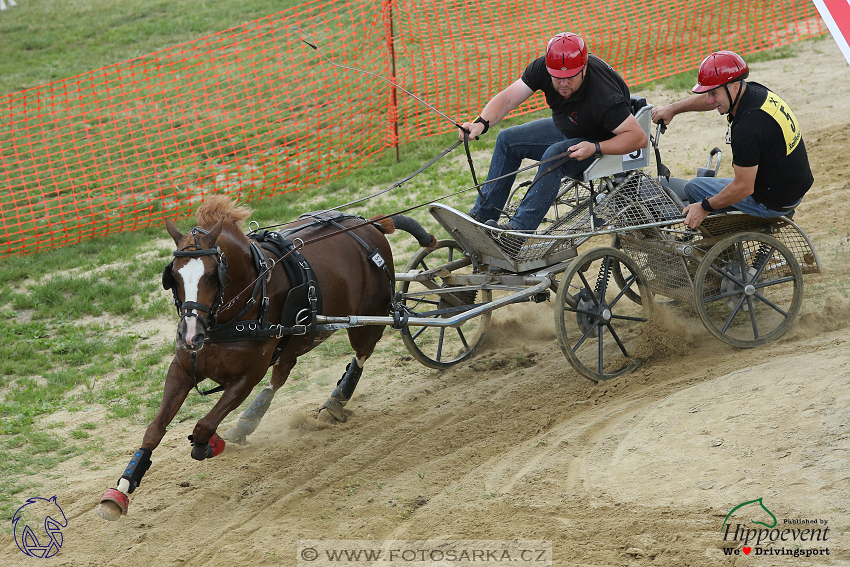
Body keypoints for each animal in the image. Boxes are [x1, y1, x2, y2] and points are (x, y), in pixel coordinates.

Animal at [96, 197, 434, 520]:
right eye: (174, 276)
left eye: (212, 275)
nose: (191, 335)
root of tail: (371, 224)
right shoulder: (181, 369)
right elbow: (154, 430)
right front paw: (122, 488)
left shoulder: (246, 377)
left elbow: (205, 425)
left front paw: (209, 445)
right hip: (297, 339)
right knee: (281, 375)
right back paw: (249, 420)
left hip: (368, 318)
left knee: (362, 354)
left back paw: (336, 400)